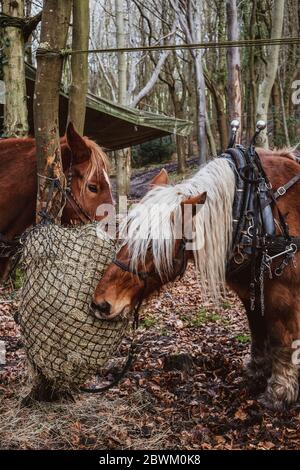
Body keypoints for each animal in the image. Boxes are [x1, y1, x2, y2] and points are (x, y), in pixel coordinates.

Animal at [92, 147, 298, 408]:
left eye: (150, 246)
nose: (101, 303)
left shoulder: (283, 295)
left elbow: (281, 339)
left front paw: (279, 391)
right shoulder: (250, 289)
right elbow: (258, 330)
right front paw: (257, 372)